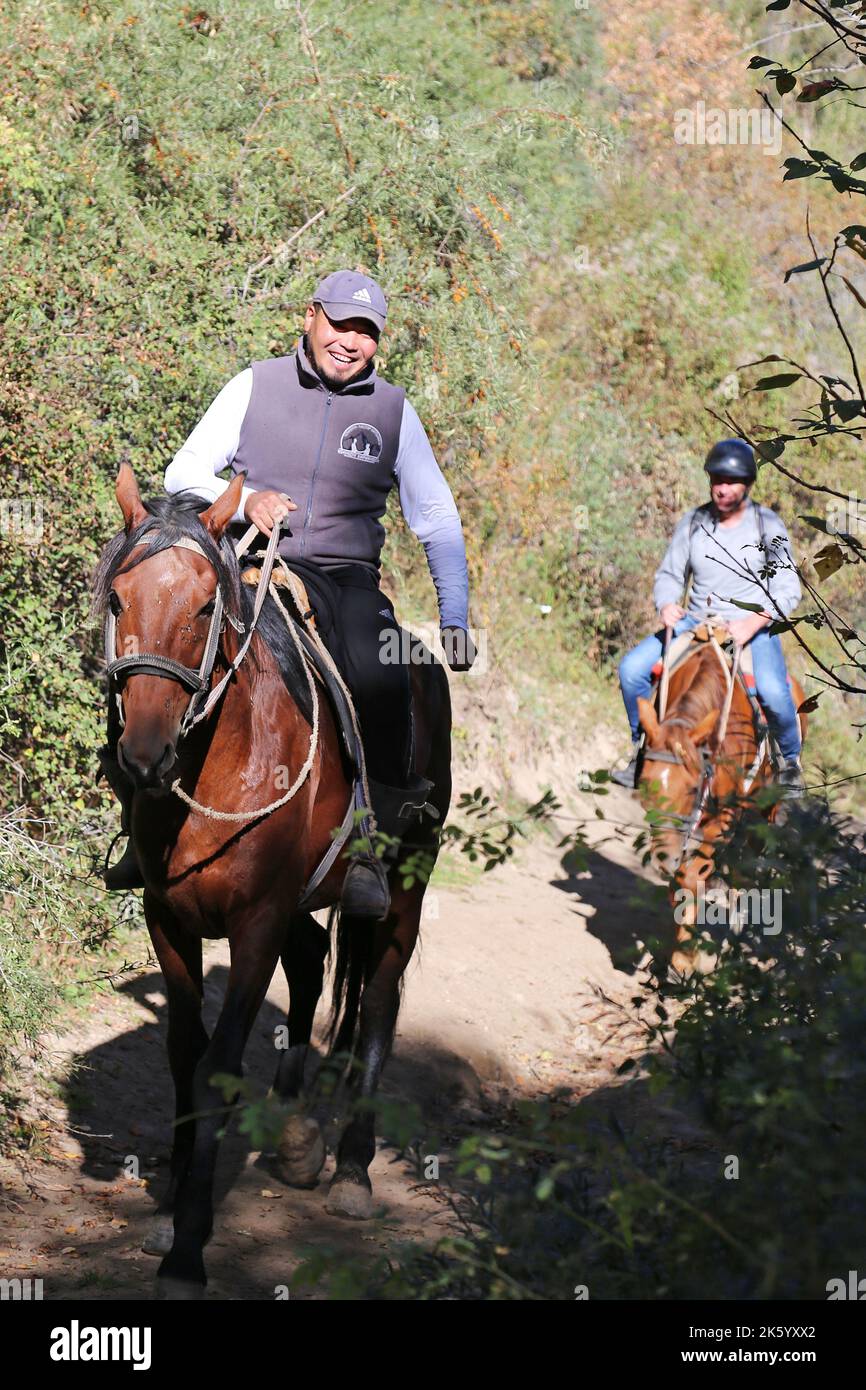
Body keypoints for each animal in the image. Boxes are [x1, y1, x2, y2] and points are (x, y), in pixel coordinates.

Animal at [91, 461, 450, 1295]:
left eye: (203, 607)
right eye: (119, 598)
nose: (145, 756)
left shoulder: (253, 925)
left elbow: (219, 1066)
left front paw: (189, 1246)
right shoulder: (170, 920)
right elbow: (183, 1054)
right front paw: (170, 1207)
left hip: (403, 892)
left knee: (376, 1000)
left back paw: (352, 1169)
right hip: (303, 902)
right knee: (316, 962)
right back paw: (294, 1129)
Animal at [633, 636, 811, 973]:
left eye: (692, 788)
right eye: (645, 787)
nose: (664, 858)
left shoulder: (725, 818)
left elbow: (691, 877)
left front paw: (683, 960)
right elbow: (682, 880)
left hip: (762, 818)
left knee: (747, 873)